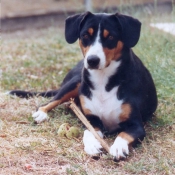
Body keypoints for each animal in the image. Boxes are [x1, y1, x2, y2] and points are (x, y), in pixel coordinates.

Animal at [9, 11, 157, 161]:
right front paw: (92, 145)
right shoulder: (91, 120)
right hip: (75, 82)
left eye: (110, 36)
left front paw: (118, 147)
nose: (92, 60)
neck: (103, 80)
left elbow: (123, 134)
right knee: (50, 101)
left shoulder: (136, 125)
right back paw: (41, 113)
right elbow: (88, 133)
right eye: (85, 35)